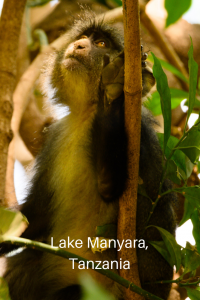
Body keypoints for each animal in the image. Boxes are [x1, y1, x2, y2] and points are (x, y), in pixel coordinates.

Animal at [0, 10, 175, 300]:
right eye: (84, 38)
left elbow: (113, 188)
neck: (86, 114)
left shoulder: (139, 133)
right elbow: (35, 219)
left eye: (101, 44)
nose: (79, 46)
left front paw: (113, 88)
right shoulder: (56, 138)